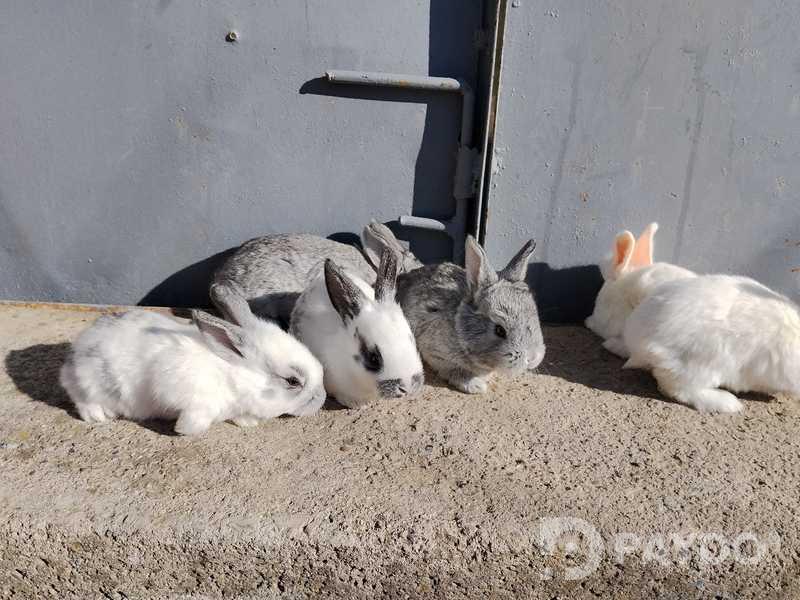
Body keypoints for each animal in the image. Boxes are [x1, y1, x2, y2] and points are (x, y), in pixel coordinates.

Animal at [60, 291, 326, 435]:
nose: (322, 399)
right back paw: (98, 416)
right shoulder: (184, 389)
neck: (231, 374)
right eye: (292, 381)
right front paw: (183, 429)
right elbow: (196, 417)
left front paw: (248, 422)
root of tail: (77, 352)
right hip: (92, 382)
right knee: (79, 396)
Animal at [395, 235, 544, 394]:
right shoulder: (437, 354)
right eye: (499, 330)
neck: (459, 328)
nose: (533, 358)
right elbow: (455, 371)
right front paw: (476, 386)